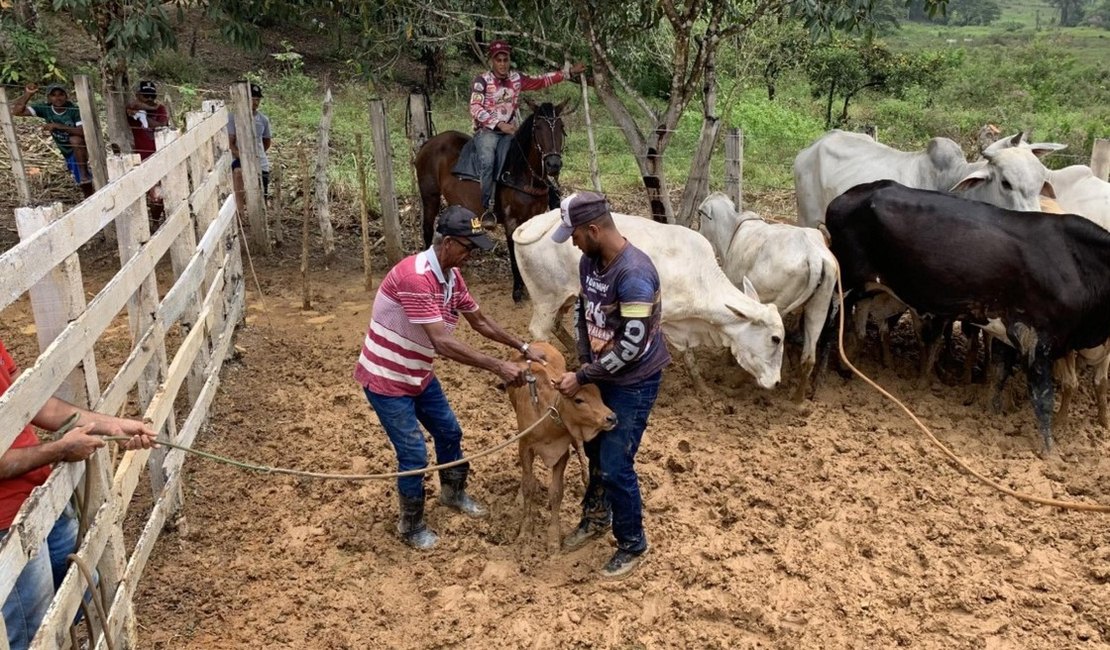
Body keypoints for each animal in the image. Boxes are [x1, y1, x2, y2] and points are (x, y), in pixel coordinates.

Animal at [417, 99, 572, 301]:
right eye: (537, 127)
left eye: (561, 127)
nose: (553, 164)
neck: (522, 173)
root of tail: (428, 143)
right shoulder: (511, 220)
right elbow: (514, 252)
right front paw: (517, 289)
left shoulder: (533, 217)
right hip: (430, 197)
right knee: (427, 230)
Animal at [512, 209, 785, 388]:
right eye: (775, 338)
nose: (776, 382)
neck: (699, 276)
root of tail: (533, 224)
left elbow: (687, 355)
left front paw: (701, 388)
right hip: (546, 298)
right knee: (540, 330)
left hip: (565, 298)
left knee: (557, 326)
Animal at [697, 190, 834, 399]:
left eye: (700, 214)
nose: (697, 231)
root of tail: (814, 255)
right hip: (819, 306)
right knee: (809, 358)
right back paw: (797, 399)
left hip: (778, 303)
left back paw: (738, 381)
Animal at [830, 178, 1110, 450]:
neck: (1078, 264)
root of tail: (849, 195)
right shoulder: (1038, 343)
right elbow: (1042, 400)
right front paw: (1049, 451)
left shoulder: (1010, 333)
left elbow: (999, 374)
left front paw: (992, 412)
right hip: (844, 283)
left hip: (868, 290)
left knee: (859, 326)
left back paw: (849, 367)